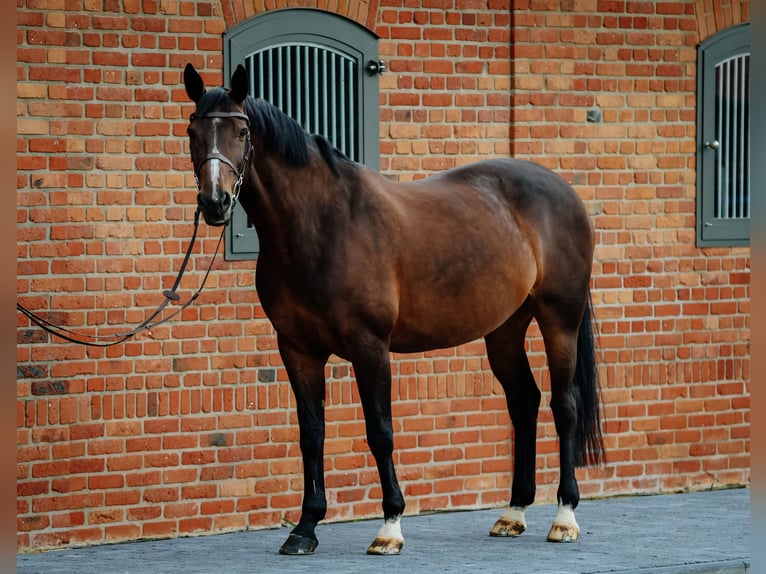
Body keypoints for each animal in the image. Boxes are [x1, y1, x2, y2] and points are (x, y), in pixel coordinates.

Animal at [183, 63, 604, 556]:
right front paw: (305, 528)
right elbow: (311, 433)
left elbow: (380, 431)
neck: (321, 225)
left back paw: (564, 516)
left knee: (565, 405)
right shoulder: (297, 349)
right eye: (193, 131)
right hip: (504, 329)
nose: (214, 202)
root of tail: (563, 191)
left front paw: (390, 527)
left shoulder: (370, 347)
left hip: (560, 320)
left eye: (242, 131)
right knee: (524, 402)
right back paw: (513, 513)